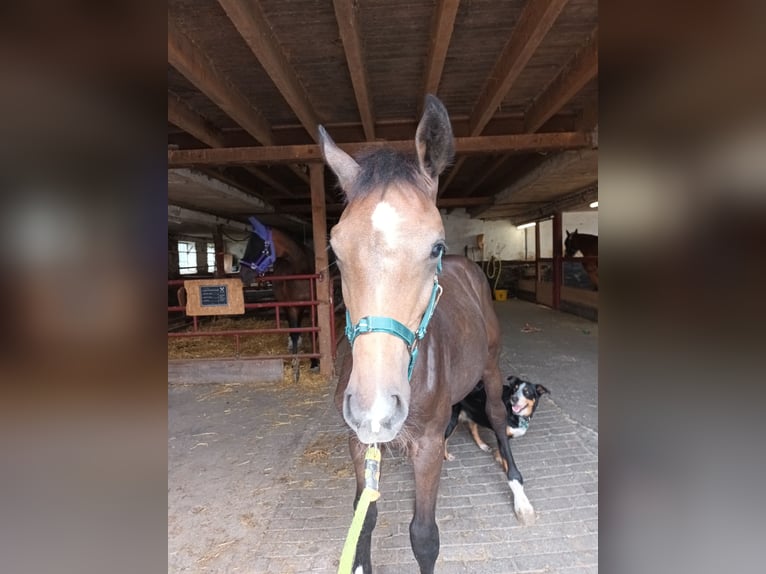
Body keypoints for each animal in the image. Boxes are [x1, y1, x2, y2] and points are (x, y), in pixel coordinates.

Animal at [240, 220, 318, 382]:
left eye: (261, 247)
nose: (243, 274)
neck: (300, 271)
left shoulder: (313, 306)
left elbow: (313, 332)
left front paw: (314, 362)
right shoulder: (292, 306)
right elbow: (294, 332)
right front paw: (295, 368)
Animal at [318, 94, 536, 574]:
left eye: (435, 245)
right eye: (336, 250)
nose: (375, 408)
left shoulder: (425, 446)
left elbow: (424, 536)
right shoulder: (360, 444)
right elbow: (364, 518)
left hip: (492, 369)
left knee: (496, 418)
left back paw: (520, 495)